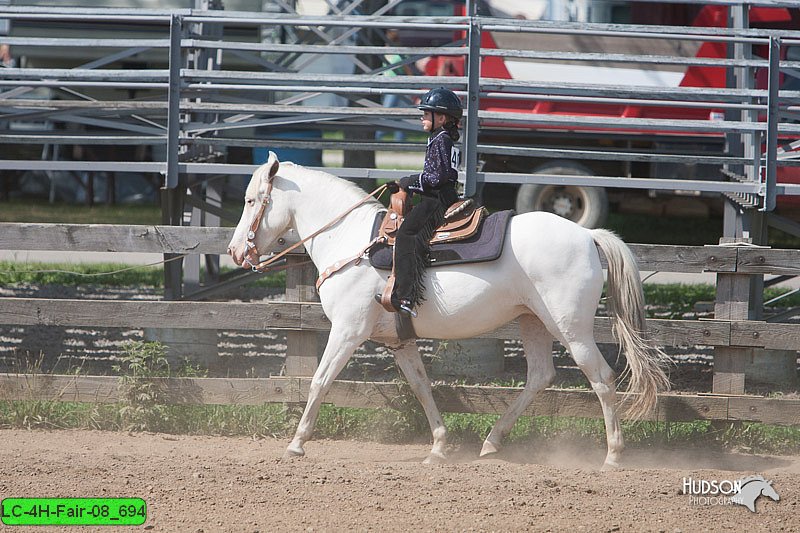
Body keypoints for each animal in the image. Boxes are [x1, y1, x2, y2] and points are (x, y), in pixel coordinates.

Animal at [228, 152, 672, 468]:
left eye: (251, 200)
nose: (234, 251)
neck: (351, 241)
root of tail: (586, 235)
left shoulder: (348, 332)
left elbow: (320, 381)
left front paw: (296, 444)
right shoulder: (399, 341)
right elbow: (421, 386)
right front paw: (439, 446)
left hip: (571, 328)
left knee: (602, 378)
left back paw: (612, 455)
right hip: (533, 321)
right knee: (540, 376)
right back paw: (492, 442)